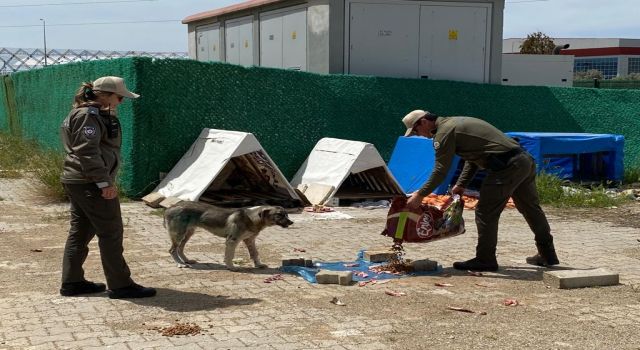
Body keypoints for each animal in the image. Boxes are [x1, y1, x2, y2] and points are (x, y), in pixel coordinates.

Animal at [165, 201, 296, 270]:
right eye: (279, 214)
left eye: (287, 214)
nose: (291, 222)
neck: (251, 218)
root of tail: (171, 207)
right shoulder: (232, 240)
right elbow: (230, 255)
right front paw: (231, 267)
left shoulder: (250, 240)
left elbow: (255, 253)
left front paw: (258, 265)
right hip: (179, 234)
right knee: (172, 250)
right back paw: (180, 264)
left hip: (188, 234)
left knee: (180, 248)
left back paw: (186, 260)